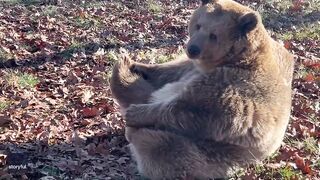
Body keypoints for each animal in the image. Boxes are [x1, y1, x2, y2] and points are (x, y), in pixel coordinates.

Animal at [110, 0, 296, 178]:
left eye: (214, 35)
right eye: (198, 25)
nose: (192, 48)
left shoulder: (235, 85)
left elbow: (193, 109)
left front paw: (136, 112)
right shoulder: (190, 67)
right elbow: (167, 71)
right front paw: (137, 65)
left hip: (215, 153)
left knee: (164, 148)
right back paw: (124, 69)